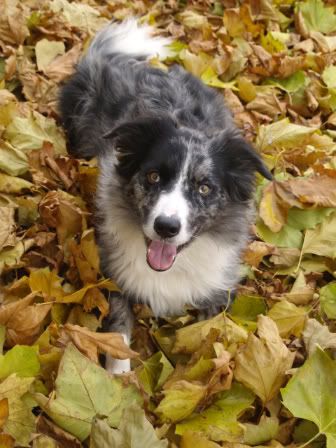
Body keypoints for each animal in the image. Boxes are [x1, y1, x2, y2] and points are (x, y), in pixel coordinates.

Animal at [59, 18, 272, 374]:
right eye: (153, 176)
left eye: (204, 187)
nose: (166, 227)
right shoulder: (113, 274)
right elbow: (118, 328)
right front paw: (118, 379)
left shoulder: (216, 291)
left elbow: (211, 337)